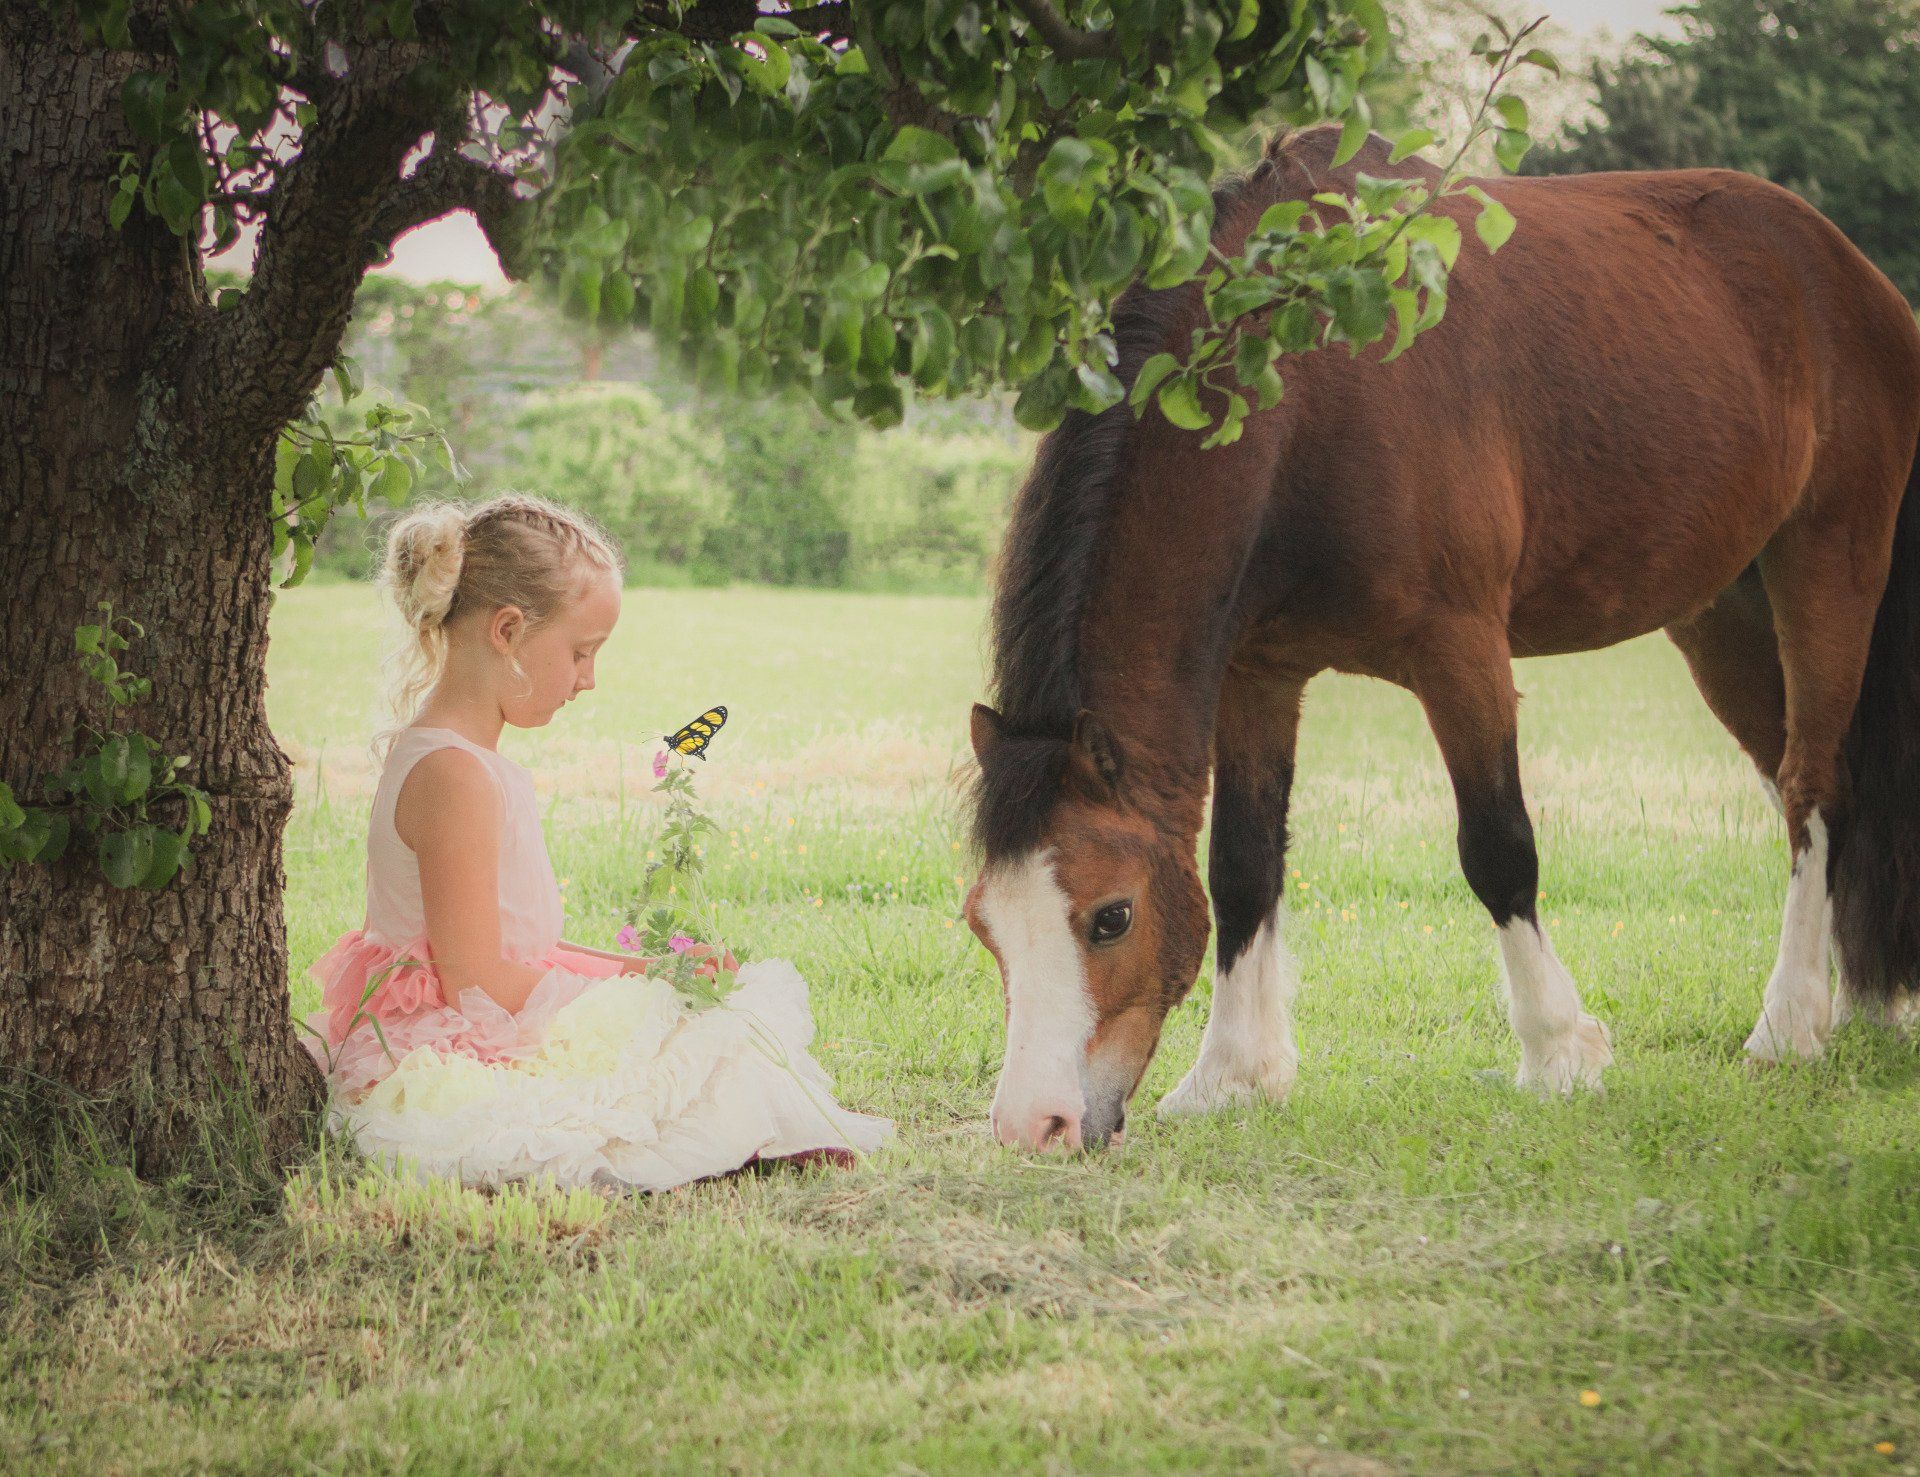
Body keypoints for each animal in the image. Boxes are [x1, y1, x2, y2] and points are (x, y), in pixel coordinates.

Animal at [963, 123, 1920, 1153]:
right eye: (983, 923)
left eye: (1110, 917)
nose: (1035, 1124)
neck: (1310, 380)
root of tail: (1856, 276)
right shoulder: (1258, 674)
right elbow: (1244, 866)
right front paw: (1231, 1076)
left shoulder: (1461, 649)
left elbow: (1498, 846)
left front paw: (1558, 1054)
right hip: (1722, 614)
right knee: (1809, 785)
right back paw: (1859, 1006)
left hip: (1827, 564)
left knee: (1812, 784)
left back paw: (1788, 1025)